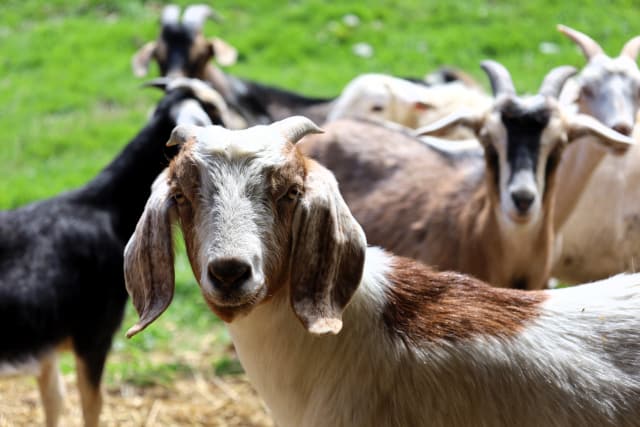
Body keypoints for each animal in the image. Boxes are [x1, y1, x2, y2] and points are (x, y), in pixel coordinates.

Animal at [0, 78, 226, 427]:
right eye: (213, 109)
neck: (107, 208)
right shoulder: (93, 333)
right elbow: (91, 405)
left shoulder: (46, 346)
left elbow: (54, 400)